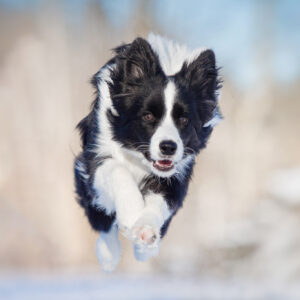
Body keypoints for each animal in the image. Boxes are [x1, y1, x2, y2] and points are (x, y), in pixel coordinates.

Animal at [74, 33, 220, 272]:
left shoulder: (176, 174)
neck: (138, 156)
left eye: (183, 119)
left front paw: (146, 231)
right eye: (148, 116)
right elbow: (117, 171)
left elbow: (161, 200)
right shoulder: (95, 158)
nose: (168, 147)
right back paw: (108, 255)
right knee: (102, 222)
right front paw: (132, 214)